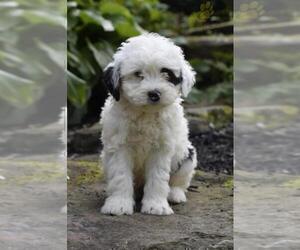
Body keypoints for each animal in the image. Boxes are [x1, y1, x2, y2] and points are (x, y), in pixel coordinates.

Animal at [100, 33, 197, 216]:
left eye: (166, 73)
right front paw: (118, 204)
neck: (145, 113)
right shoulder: (119, 145)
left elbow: (158, 177)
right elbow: (121, 175)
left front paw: (156, 206)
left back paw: (175, 194)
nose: (154, 94)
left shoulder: (161, 147)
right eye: (138, 74)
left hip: (187, 156)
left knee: (180, 181)